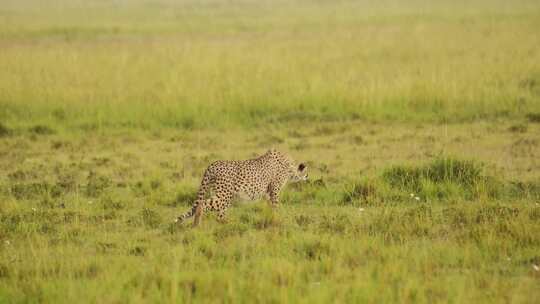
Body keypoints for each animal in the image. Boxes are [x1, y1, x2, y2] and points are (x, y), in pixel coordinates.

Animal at [175, 148, 306, 227]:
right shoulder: (274, 190)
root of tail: (213, 164)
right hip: (224, 196)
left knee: (218, 214)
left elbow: (270, 207)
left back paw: (227, 224)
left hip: (224, 196)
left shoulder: (268, 193)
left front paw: (271, 218)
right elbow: (275, 206)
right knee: (202, 205)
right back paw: (197, 225)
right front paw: (277, 219)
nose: (307, 175)